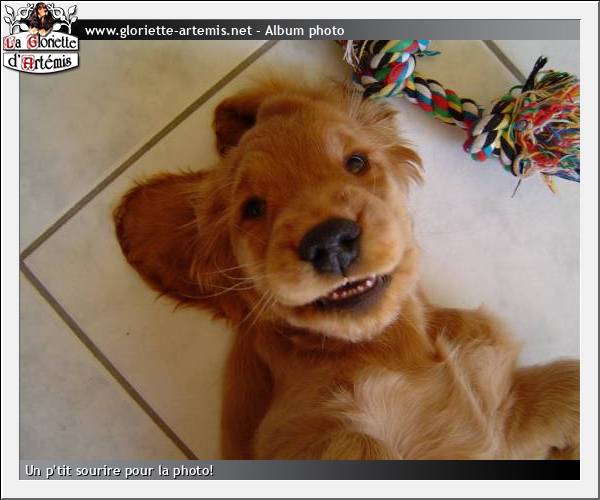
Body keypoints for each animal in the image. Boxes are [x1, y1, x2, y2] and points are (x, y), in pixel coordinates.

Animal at [114, 79, 579, 459]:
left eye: (356, 163)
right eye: (253, 208)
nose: (330, 242)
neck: (389, 348)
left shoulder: (500, 399)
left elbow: (567, 384)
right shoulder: (313, 432)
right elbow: (355, 444)